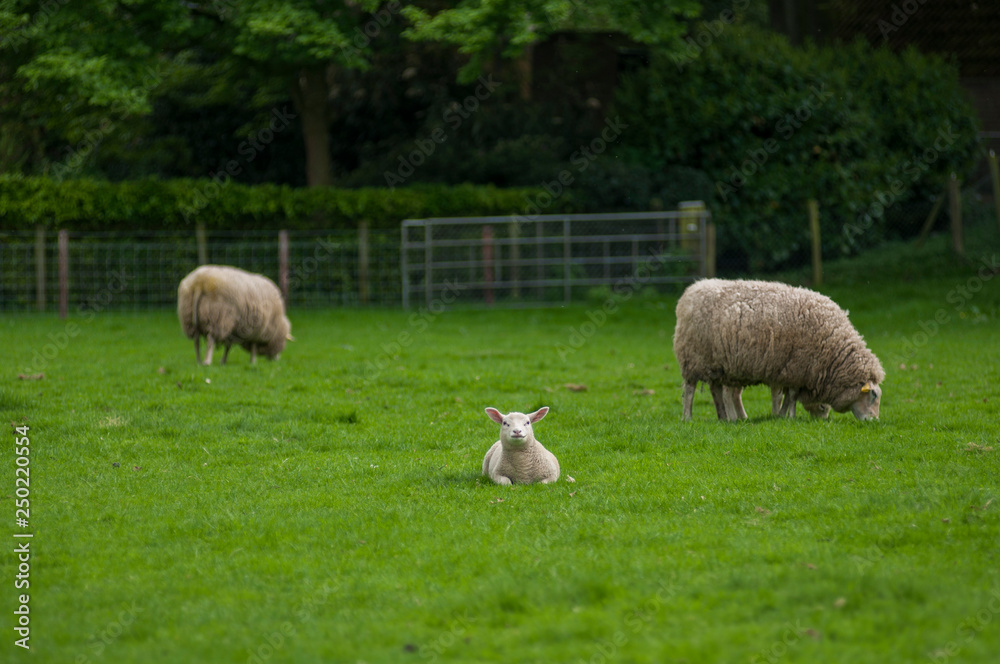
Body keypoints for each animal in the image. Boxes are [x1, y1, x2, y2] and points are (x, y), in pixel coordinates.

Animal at [672, 278, 884, 420]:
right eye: (873, 395)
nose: (873, 421)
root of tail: (691, 292)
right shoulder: (796, 367)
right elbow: (790, 396)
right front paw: (788, 416)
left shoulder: (788, 370)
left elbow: (784, 395)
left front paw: (780, 415)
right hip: (693, 358)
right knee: (690, 390)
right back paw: (689, 418)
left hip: (717, 364)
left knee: (717, 391)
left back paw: (725, 418)